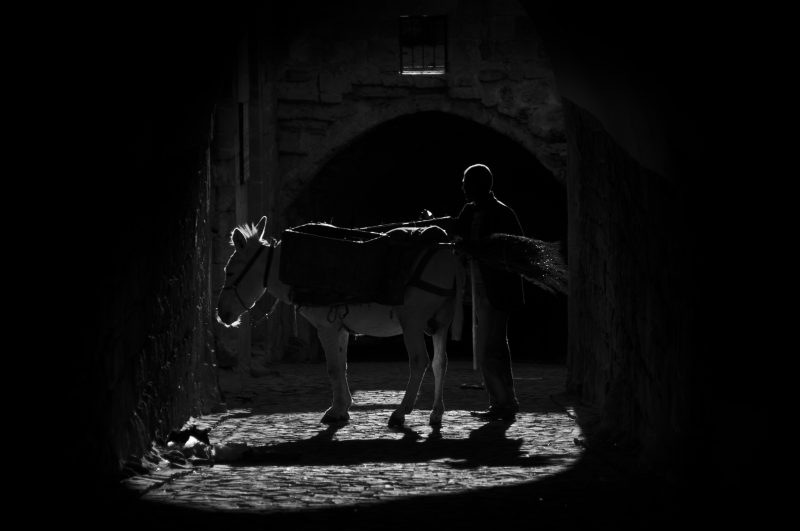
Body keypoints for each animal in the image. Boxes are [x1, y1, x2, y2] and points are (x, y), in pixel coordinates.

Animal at [216, 216, 466, 428]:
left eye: (230, 272)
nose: (221, 314)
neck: (290, 266)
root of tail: (448, 252)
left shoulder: (326, 328)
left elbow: (333, 368)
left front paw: (335, 411)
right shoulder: (340, 328)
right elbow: (342, 365)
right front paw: (343, 407)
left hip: (412, 323)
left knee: (419, 361)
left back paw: (400, 413)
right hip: (440, 324)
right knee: (440, 362)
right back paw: (436, 413)